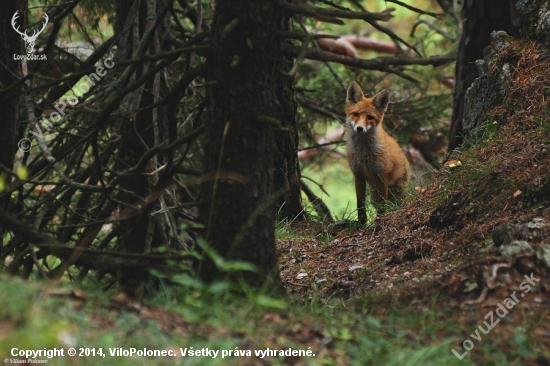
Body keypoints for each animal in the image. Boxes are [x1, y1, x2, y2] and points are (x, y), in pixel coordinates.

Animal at [348, 81, 412, 223]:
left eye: (370, 117)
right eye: (356, 114)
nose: (359, 128)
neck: (363, 154)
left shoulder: (382, 175)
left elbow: (384, 205)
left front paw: (380, 220)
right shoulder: (358, 175)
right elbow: (360, 204)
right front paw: (362, 223)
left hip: (397, 191)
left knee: (396, 204)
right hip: (374, 194)